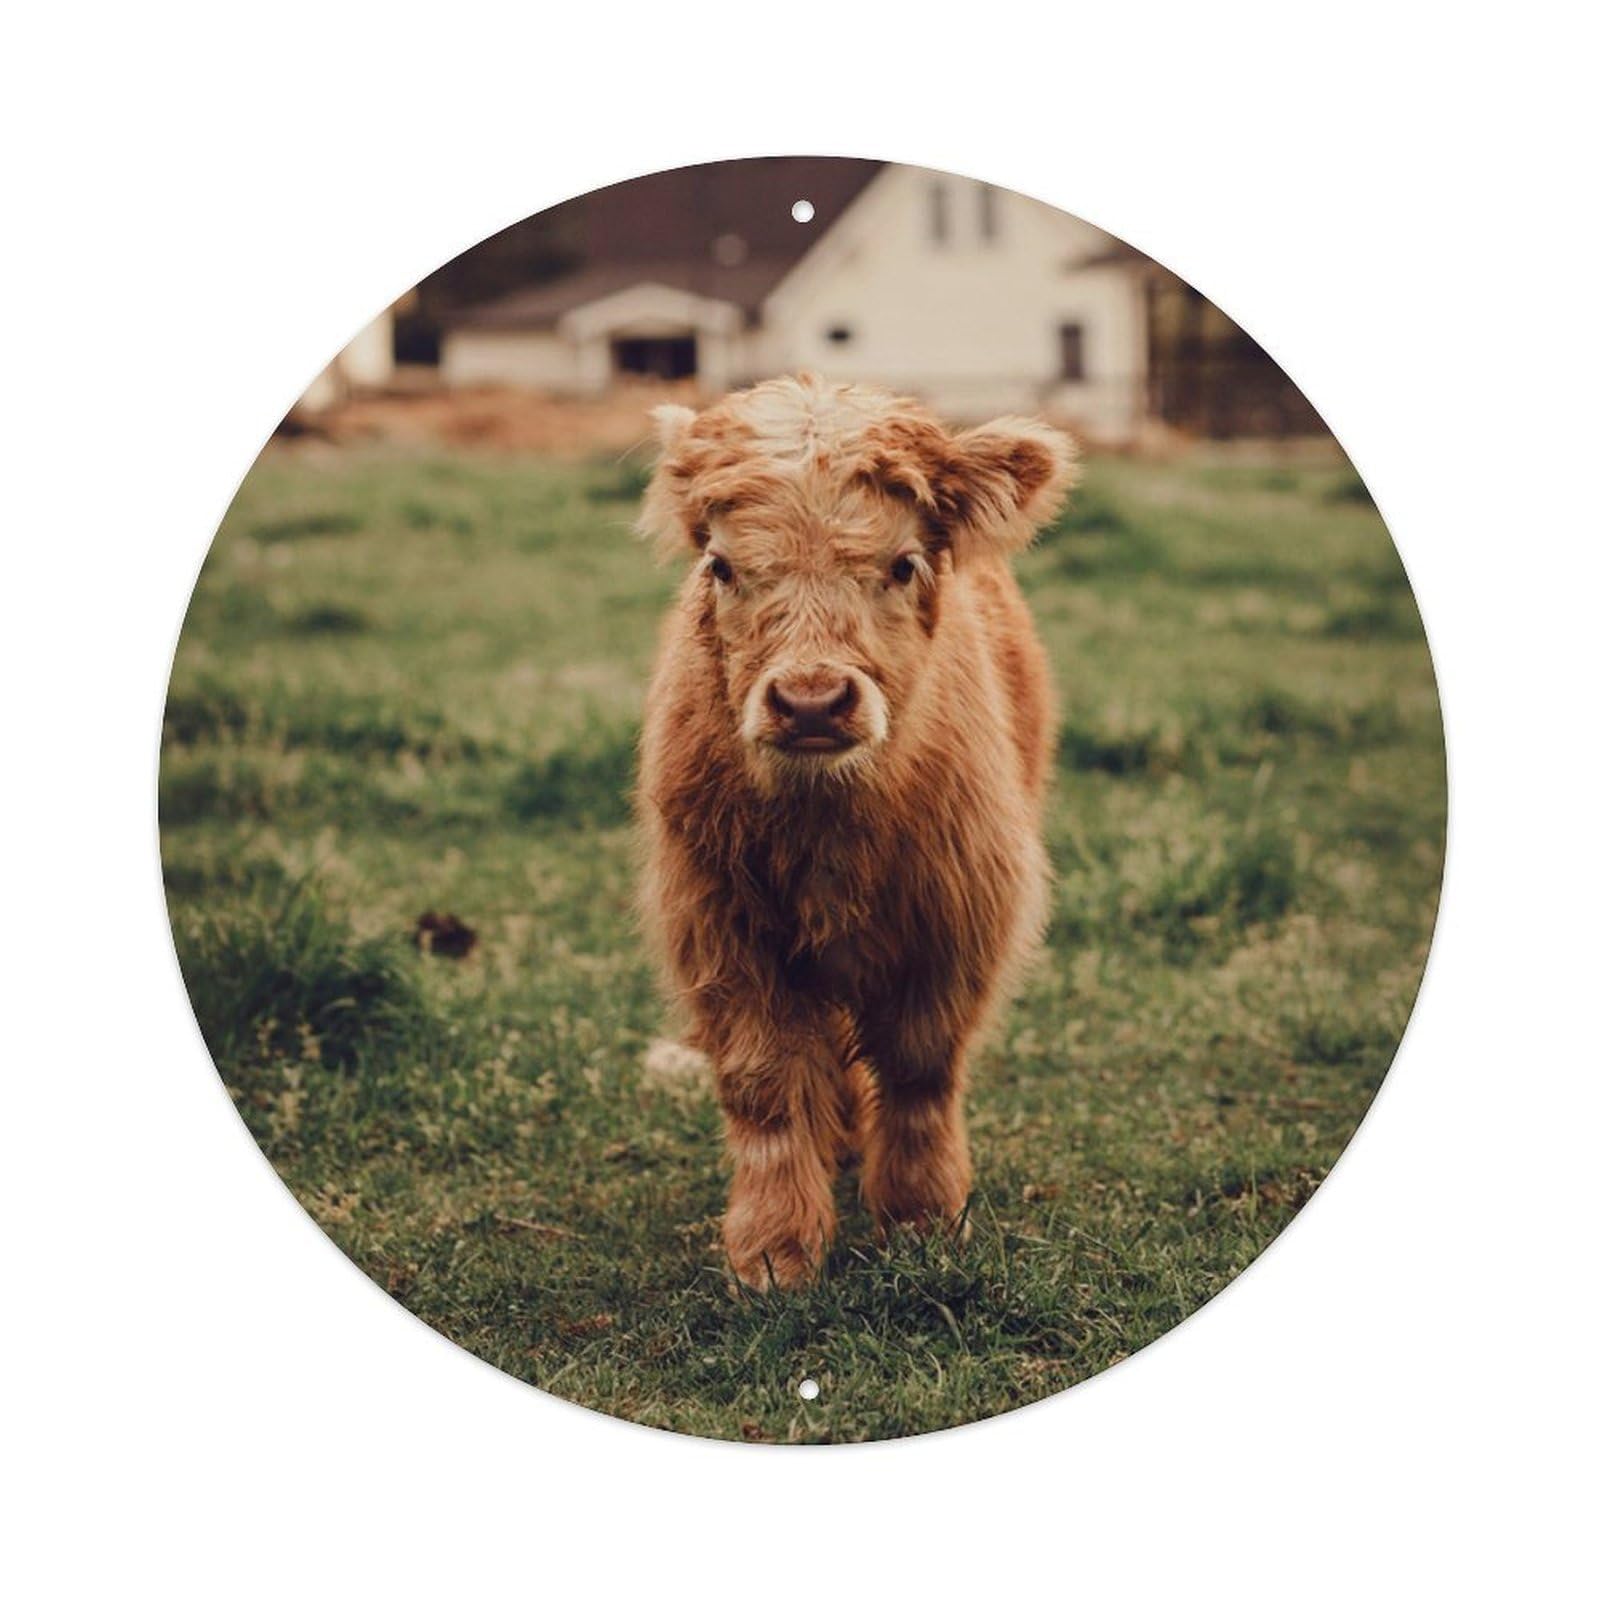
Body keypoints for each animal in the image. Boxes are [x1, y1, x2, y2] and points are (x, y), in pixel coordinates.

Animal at [635, 374, 1074, 1288]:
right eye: (722, 564)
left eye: (902, 563)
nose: (810, 703)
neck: (827, 830)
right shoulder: (720, 928)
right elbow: (765, 1086)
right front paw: (773, 1250)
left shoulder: (955, 922)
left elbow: (917, 1073)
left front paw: (921, 1218)